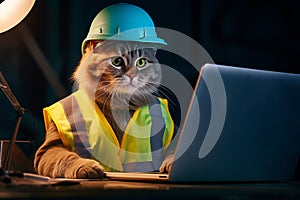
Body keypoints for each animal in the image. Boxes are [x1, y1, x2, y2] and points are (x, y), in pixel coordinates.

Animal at [33, 40, 173, 178]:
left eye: (141, 62)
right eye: (117, 61)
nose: (132, 75)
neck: (120, 104)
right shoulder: (49, 148)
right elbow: (67, 158)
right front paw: (85, 166)